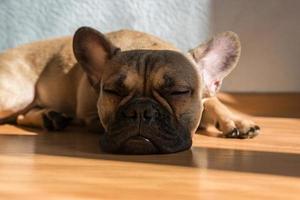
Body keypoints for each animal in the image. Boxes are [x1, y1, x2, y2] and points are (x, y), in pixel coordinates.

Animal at [0, 26, 258, 154]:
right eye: (112, 91)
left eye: (178, 92)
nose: (141, 111)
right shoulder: (89, 116)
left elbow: (213, 102)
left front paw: (236, 120)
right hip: (19, 94)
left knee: (21, 116)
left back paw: (49, 117)